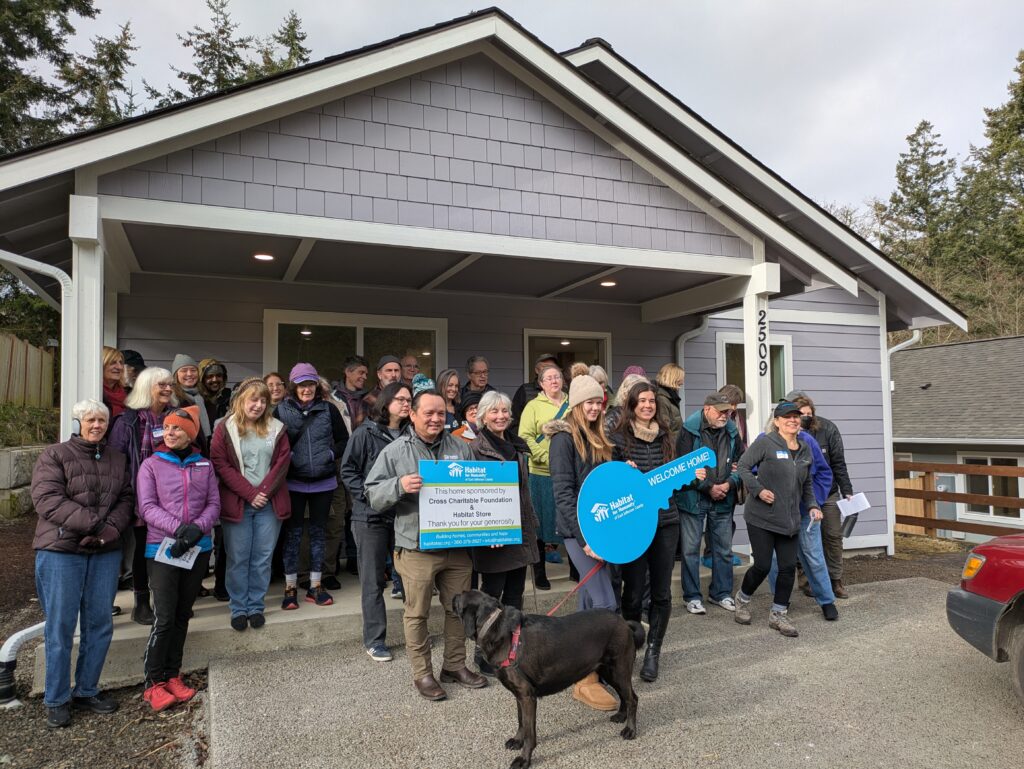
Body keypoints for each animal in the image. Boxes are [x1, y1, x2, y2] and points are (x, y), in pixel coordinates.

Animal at [452, 593, 643, 765]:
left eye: (459, 597)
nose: (451, 597)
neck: (496, 627)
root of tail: (624, 621)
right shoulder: (519, 696)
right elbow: (521, 722)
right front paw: (517, 740)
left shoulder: (527, 696)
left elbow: (530, 733)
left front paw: (524, 759)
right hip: (608, 671)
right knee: (624, 695)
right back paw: (621, 716)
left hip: (618, 670)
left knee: (632, 698)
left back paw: (630, 730)